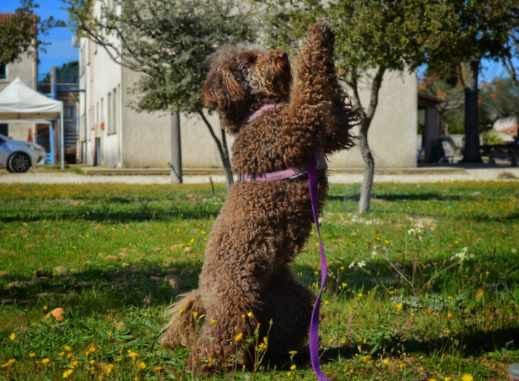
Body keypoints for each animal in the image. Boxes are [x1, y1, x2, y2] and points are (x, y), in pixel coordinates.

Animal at [161, 22, 358, 372]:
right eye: (250, 60)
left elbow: (334, 114)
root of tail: (202, 293)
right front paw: (317, 36)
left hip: (288, 300)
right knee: (219, 336)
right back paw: (205, 364)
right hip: (235, 299)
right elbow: (310, 85)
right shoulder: (294, 127)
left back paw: (274, 357)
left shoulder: (325, 133)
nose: (280, 54)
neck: (259, 111)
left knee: (271, 332)